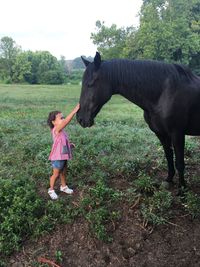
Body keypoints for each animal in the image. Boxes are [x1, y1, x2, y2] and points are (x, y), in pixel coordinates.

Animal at [77, 51, 200, 193]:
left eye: (90, 84)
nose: (80, 118)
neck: (165, 93)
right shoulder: (161, 133)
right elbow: (168, 156)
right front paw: (168, 180)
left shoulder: (177, 133)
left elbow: (179, 162)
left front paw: (182, 190)